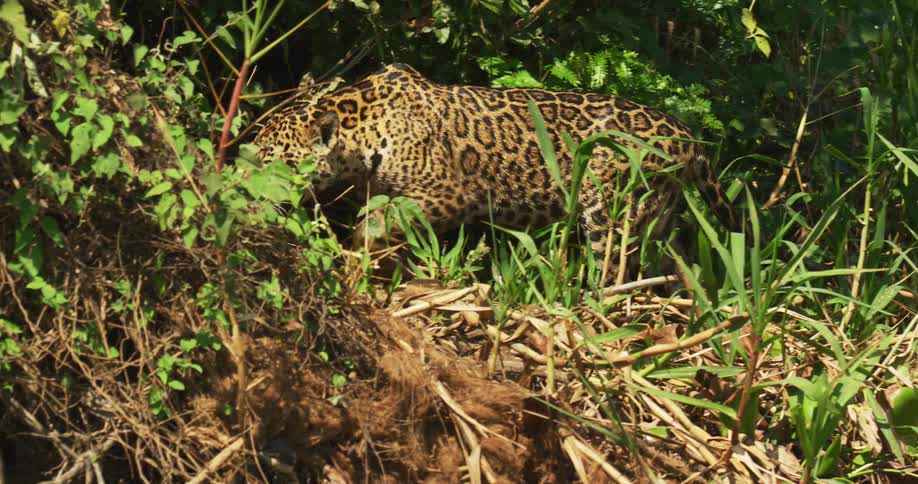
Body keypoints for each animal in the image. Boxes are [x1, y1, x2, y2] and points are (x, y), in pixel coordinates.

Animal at [255, 63, 728, 279]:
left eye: (273, 161)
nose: (251, 192)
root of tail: (689, 135)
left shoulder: (451, 194)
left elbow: (378, 222)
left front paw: (356, 257)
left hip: (613, 212)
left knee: (613, 269)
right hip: (660, 217)